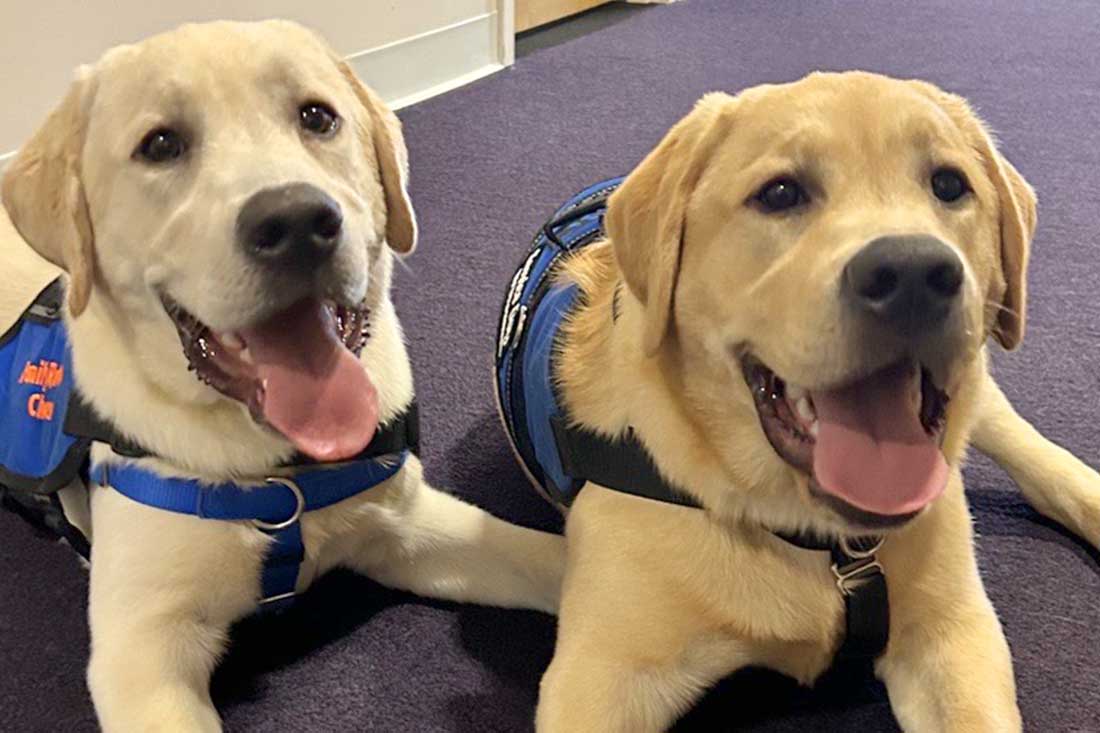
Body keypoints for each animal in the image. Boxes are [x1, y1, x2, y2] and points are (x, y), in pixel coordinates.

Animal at [0, 19, 563, 726]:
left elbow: (558, 561)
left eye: (317, 117)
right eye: (161, 144)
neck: (276, 468)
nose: (297, 222)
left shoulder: (409, 524)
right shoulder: (141, 653)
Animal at [514, 71, 1100, 726]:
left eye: (949, 184)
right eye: (780, 193)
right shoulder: (599, 674)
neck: (817, 535)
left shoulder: (953, 633)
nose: (913, 273)